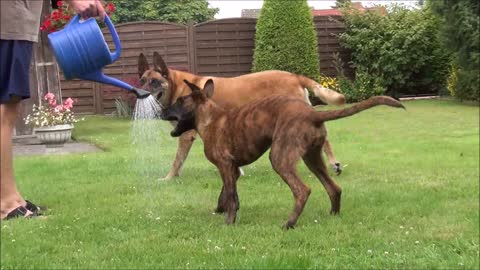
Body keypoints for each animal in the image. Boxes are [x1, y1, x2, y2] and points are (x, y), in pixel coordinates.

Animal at [141, 52, 346, 179]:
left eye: (154, 82)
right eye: (142, 80)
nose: (139, 93)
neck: (177, 85)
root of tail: (294, 76)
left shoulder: (186, 136)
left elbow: (177, 160)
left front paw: (168, 178)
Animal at [161, 79, 404, 228]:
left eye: (180, 101)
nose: (162, 111)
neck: (210, 119)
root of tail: (312, 114)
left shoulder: (225, 165)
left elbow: (230, 194)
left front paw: (229, 221)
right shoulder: (232, 169)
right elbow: (228, 195)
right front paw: (222, 209)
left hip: (280, 158)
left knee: (303, 190)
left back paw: (289, 223)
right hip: (312, 159)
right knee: (334, 188)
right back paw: (333, 215)